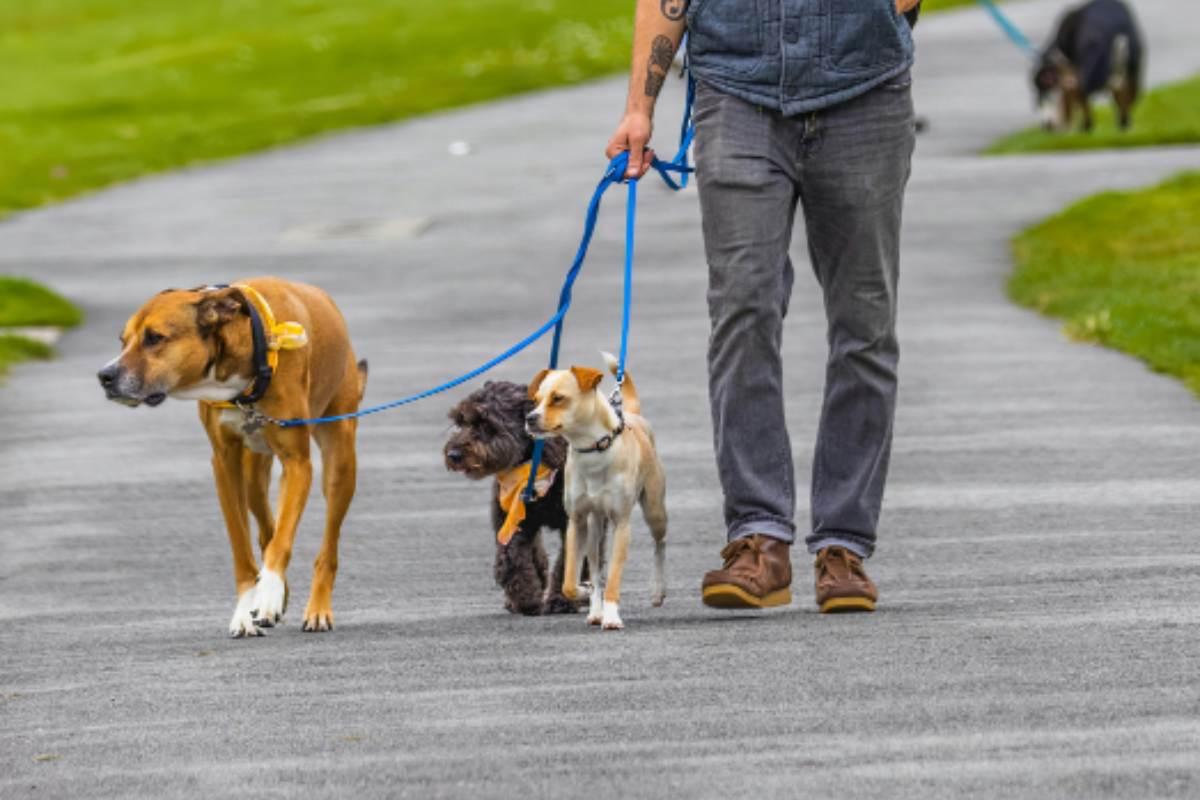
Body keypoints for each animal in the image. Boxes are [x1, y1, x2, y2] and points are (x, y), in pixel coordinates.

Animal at [98, 278, 364, 642]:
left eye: (155, 338)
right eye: (123, 341)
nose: (105, 376)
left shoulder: (298, 463)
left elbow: (283, 540)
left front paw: (268, 595)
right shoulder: (224, 464)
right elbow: (244, 546)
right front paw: (248, 608)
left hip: (340, 461)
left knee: (326, 546)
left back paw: (317, 609)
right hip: (254, 475)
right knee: (266, 528)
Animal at [446, 379, 585, 618]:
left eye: (487, 425)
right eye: (461, 421)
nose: (454, 455)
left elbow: (570, 560)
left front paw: (562, 600)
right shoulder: (510, 519)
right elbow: (513, 557)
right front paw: (525, 598)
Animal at [525, 352, 667, 628]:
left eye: (558, 398)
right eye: (535, 400)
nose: (530, 418)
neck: (594, 449)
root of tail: (633, 414)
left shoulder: (622, 524)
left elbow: (613, 577)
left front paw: (611, 617)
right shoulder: (576, 521)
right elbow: (570, 582)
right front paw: (584, 592)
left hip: (654, 510)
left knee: (659, 544)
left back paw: (657, 591)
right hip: (595, 526)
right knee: (593, 564)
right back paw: (594, 609)